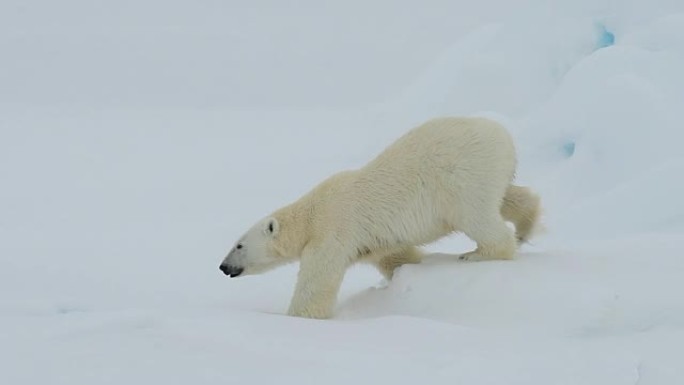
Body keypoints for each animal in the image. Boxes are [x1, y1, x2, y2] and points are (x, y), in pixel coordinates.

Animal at [219, 116, 540, 318]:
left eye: (238, 245)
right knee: (507, 197)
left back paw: (477, 253)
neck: (311, 213)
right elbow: (395, 256)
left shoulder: (332, 231)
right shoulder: (372, 240)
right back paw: (526, 226)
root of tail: (503, 135)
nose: (222, 267)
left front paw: (296, 317)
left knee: (477, 216)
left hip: (462, 176)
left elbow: (316, 283)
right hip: (490, 172)